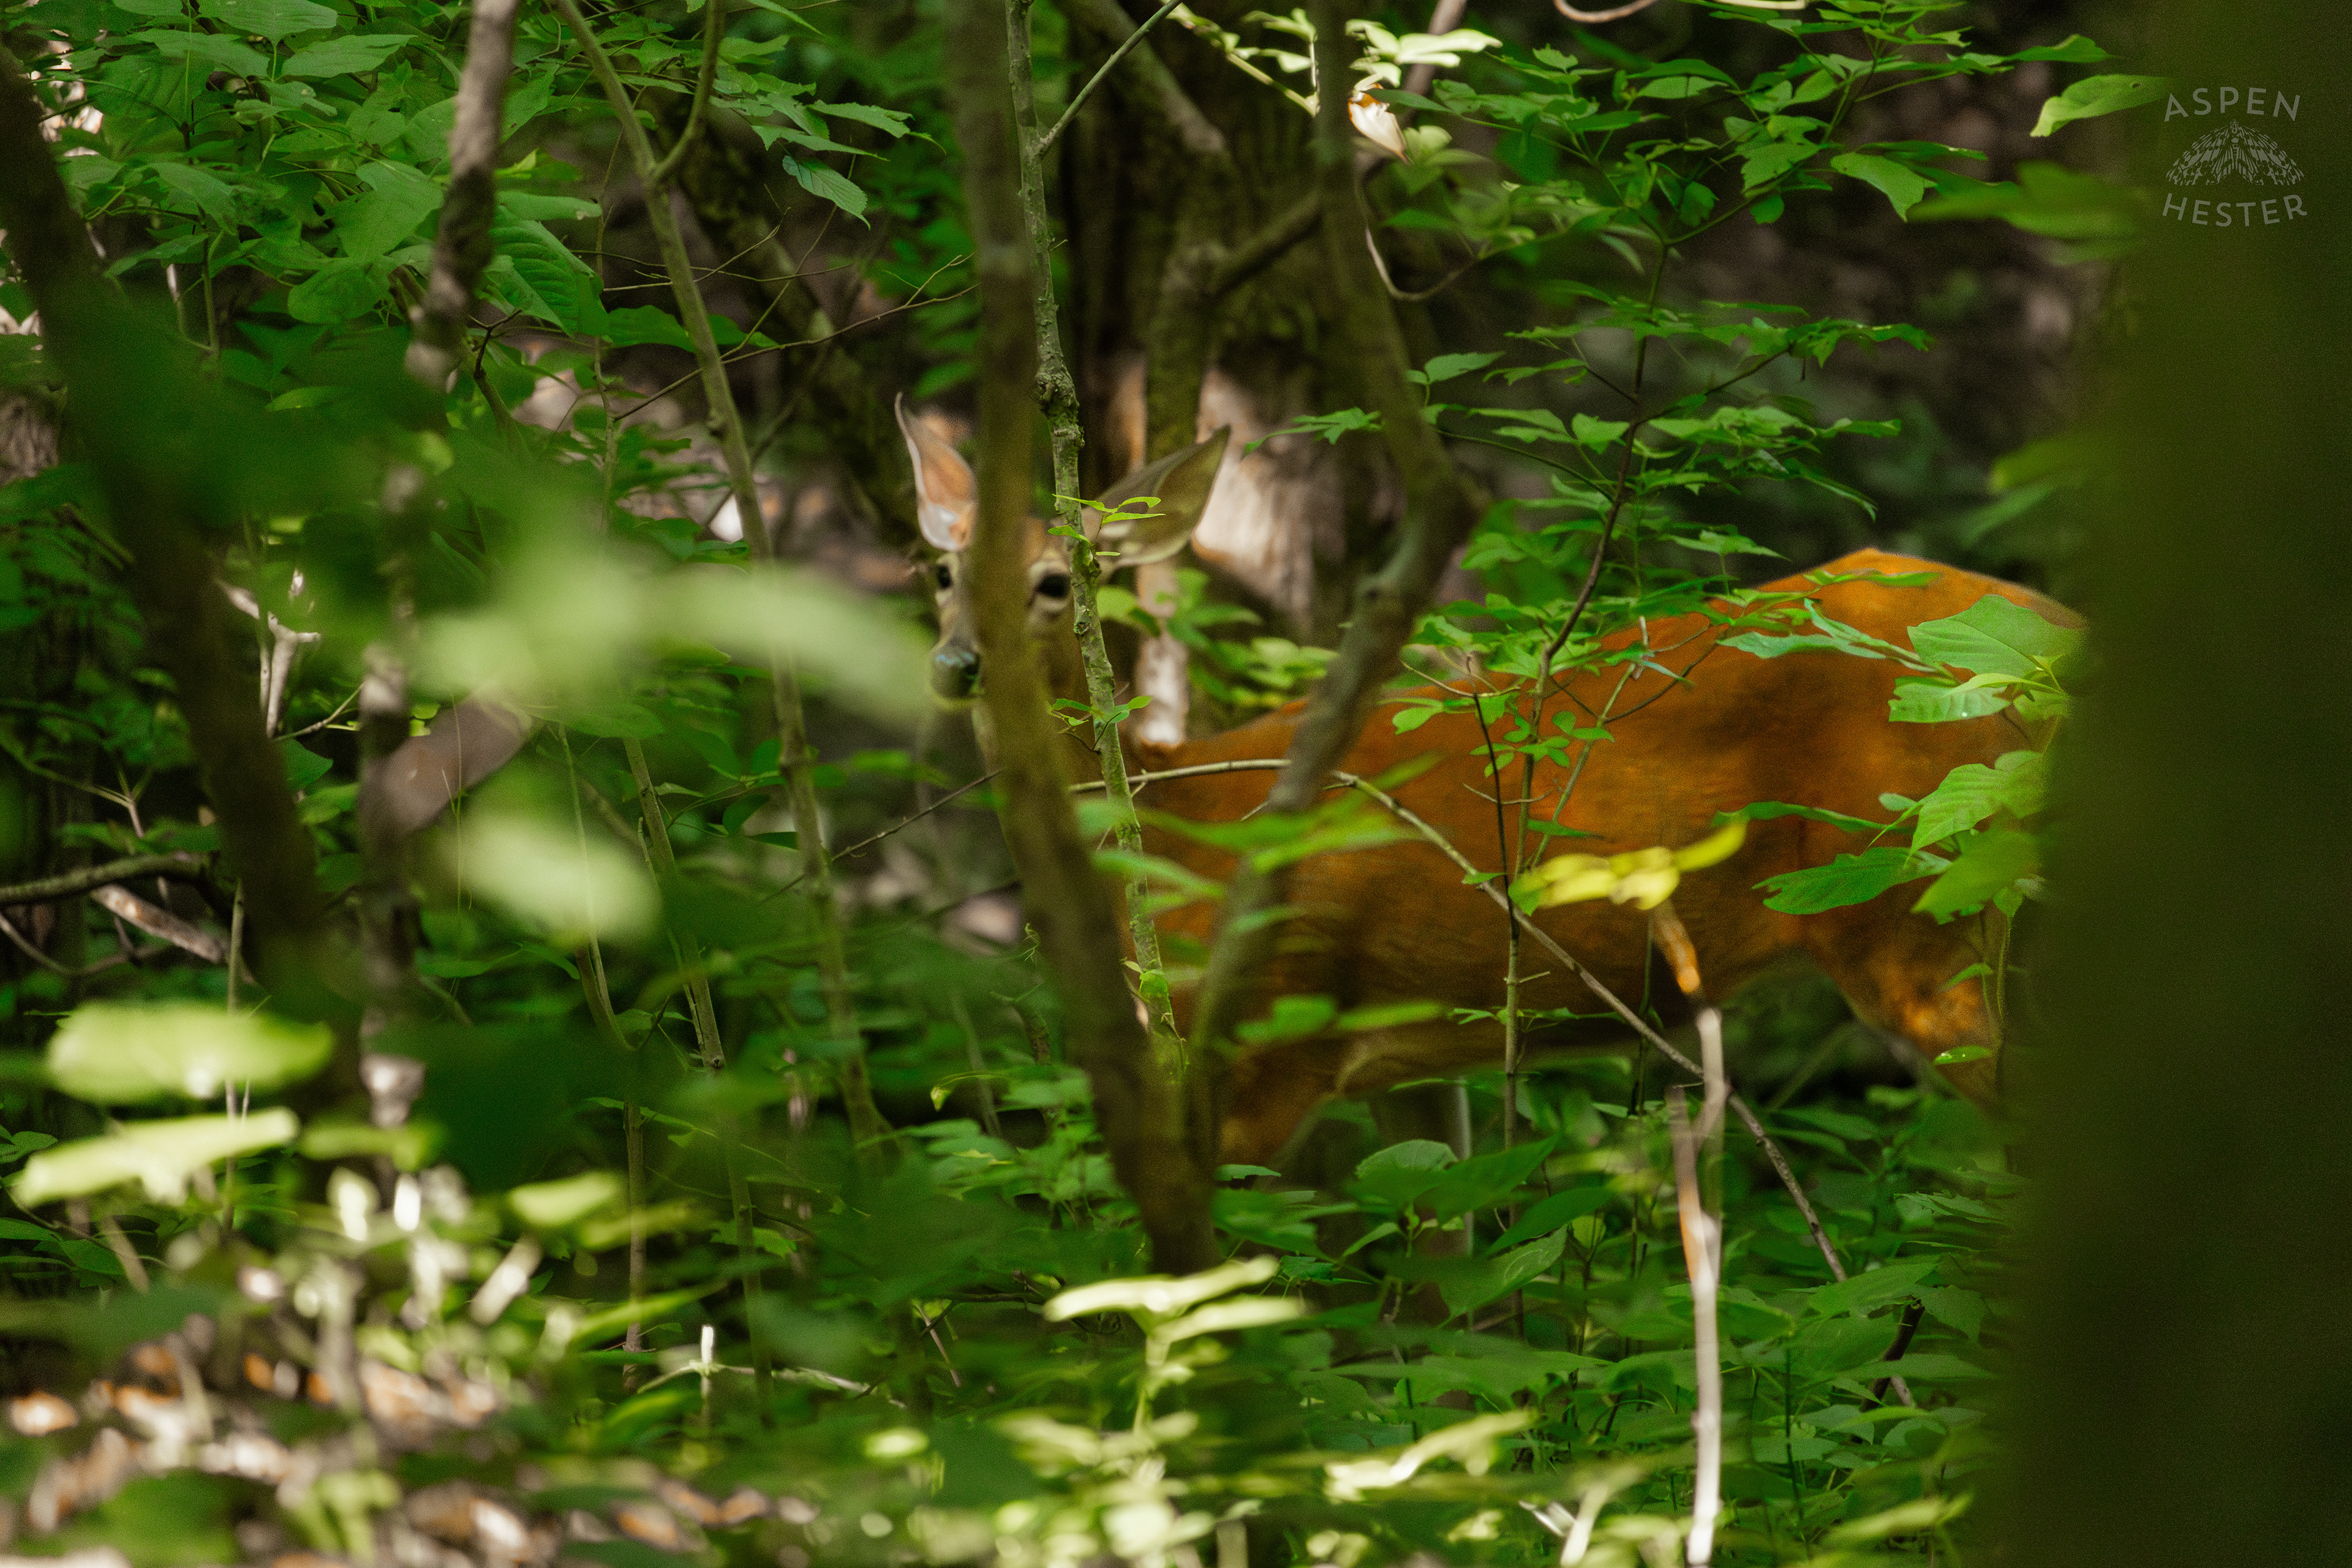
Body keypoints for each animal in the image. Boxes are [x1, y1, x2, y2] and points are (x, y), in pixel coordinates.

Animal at [896, 400, 2077, 1169]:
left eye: (1055, 584)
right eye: (942, 572)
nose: (956, 665)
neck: (1170, 813)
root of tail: (2054, 632)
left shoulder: (1265, 1037)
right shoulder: (1410, 1061)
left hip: (1918, 906)